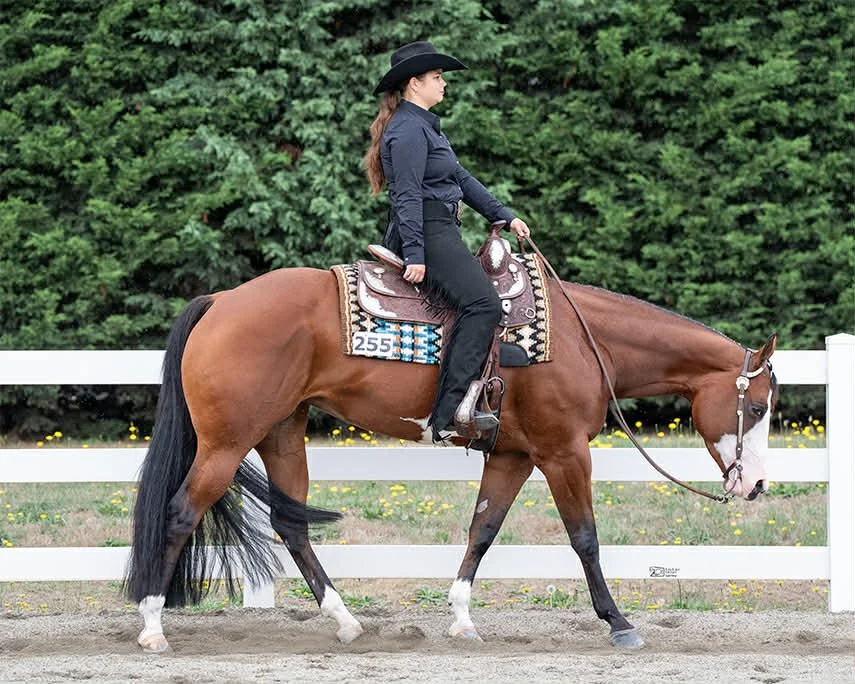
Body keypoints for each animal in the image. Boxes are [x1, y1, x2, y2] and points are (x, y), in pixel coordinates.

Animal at [125, 257, 778, 653]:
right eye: (756, 407)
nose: (755, 486)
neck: (583, 339)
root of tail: (221, 300)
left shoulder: (513, 455)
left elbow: (482, 530)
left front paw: (462, 617)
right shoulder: (563, 453)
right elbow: (585, 538)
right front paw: (619, 623)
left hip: (281, 433)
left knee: (290, 522)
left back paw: (346, 621)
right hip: (227, 443)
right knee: (179, 514)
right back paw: (154, 626)